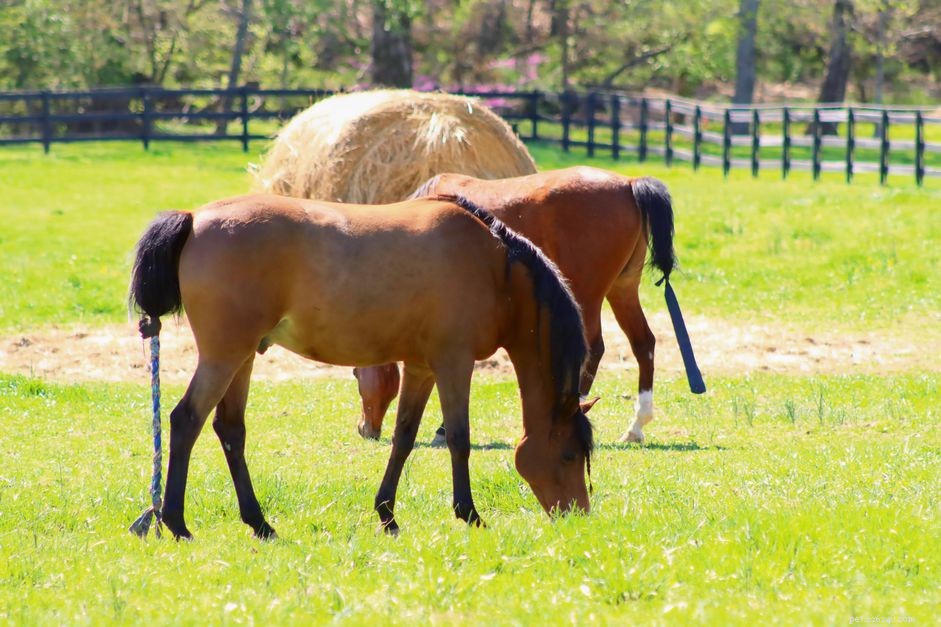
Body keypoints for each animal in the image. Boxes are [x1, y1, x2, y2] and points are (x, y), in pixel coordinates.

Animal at [129, 193, 596, 539]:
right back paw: (176, 523)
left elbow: (403, 439)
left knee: (230, 430)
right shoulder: (454, 363)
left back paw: (259, 523)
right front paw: (469, 514)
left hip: (242, 357)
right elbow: (458, 439)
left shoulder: (422, 367)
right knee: (185, 421)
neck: (496, 268)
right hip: (223, 356)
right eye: (569, 454)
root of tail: (194, 219)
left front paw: (387, 515)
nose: (578, 516)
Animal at [354, 166, 677, 445]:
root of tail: (628, 183)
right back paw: (636, 426)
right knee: (643, 344)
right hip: (622, 290)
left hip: (588, 295)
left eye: (356, 374)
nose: (365, 429)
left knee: (594, 348)